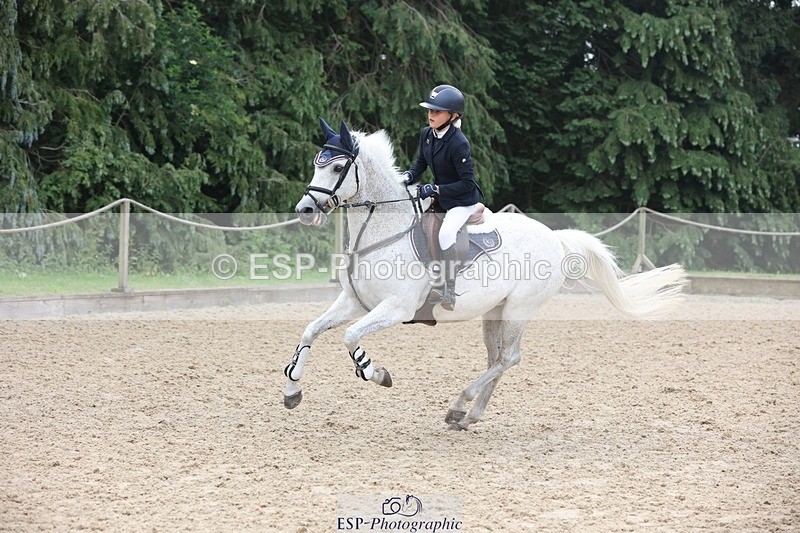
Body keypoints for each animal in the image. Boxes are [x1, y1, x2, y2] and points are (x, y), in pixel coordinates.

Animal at [283, 119, 687, 430]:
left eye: (338, 168)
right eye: (317, 163)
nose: (305, 210)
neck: (382, 230)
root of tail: (555, 238)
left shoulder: (396, 308)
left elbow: (350, 337)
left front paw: (376, 373)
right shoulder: (354, 301)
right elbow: (310, 330)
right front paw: (292, 389)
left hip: (519, 309)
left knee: (509, 358)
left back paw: (460, 406)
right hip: (495, 311)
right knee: (497, 359)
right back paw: (469, 415)